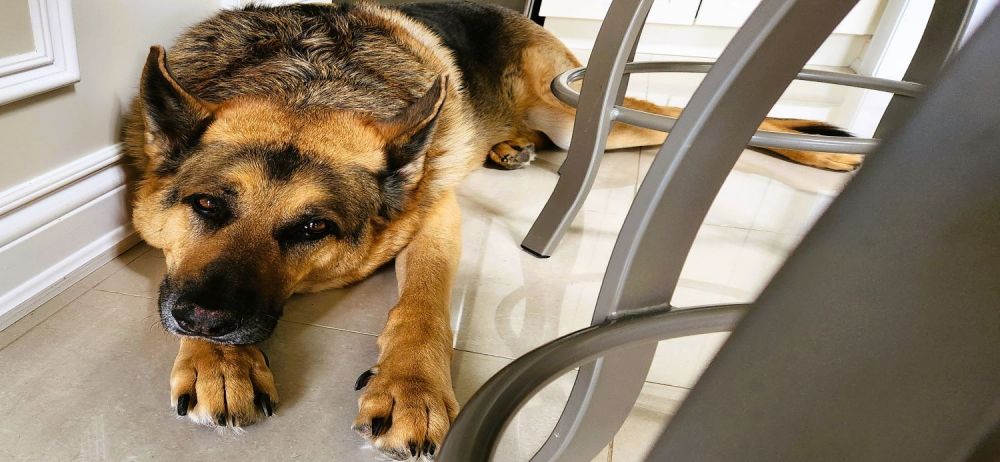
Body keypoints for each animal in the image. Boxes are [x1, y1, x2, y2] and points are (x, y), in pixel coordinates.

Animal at [123, 1, 861, 459]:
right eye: (207, 206)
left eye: (311, 227)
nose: (206, 320)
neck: (307, 84)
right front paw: (219, 360)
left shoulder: (437, 214)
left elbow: (424, 306)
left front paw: (412, 387)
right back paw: (510, 147)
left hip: (573, 113)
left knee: (669, 117)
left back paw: (830, 150)